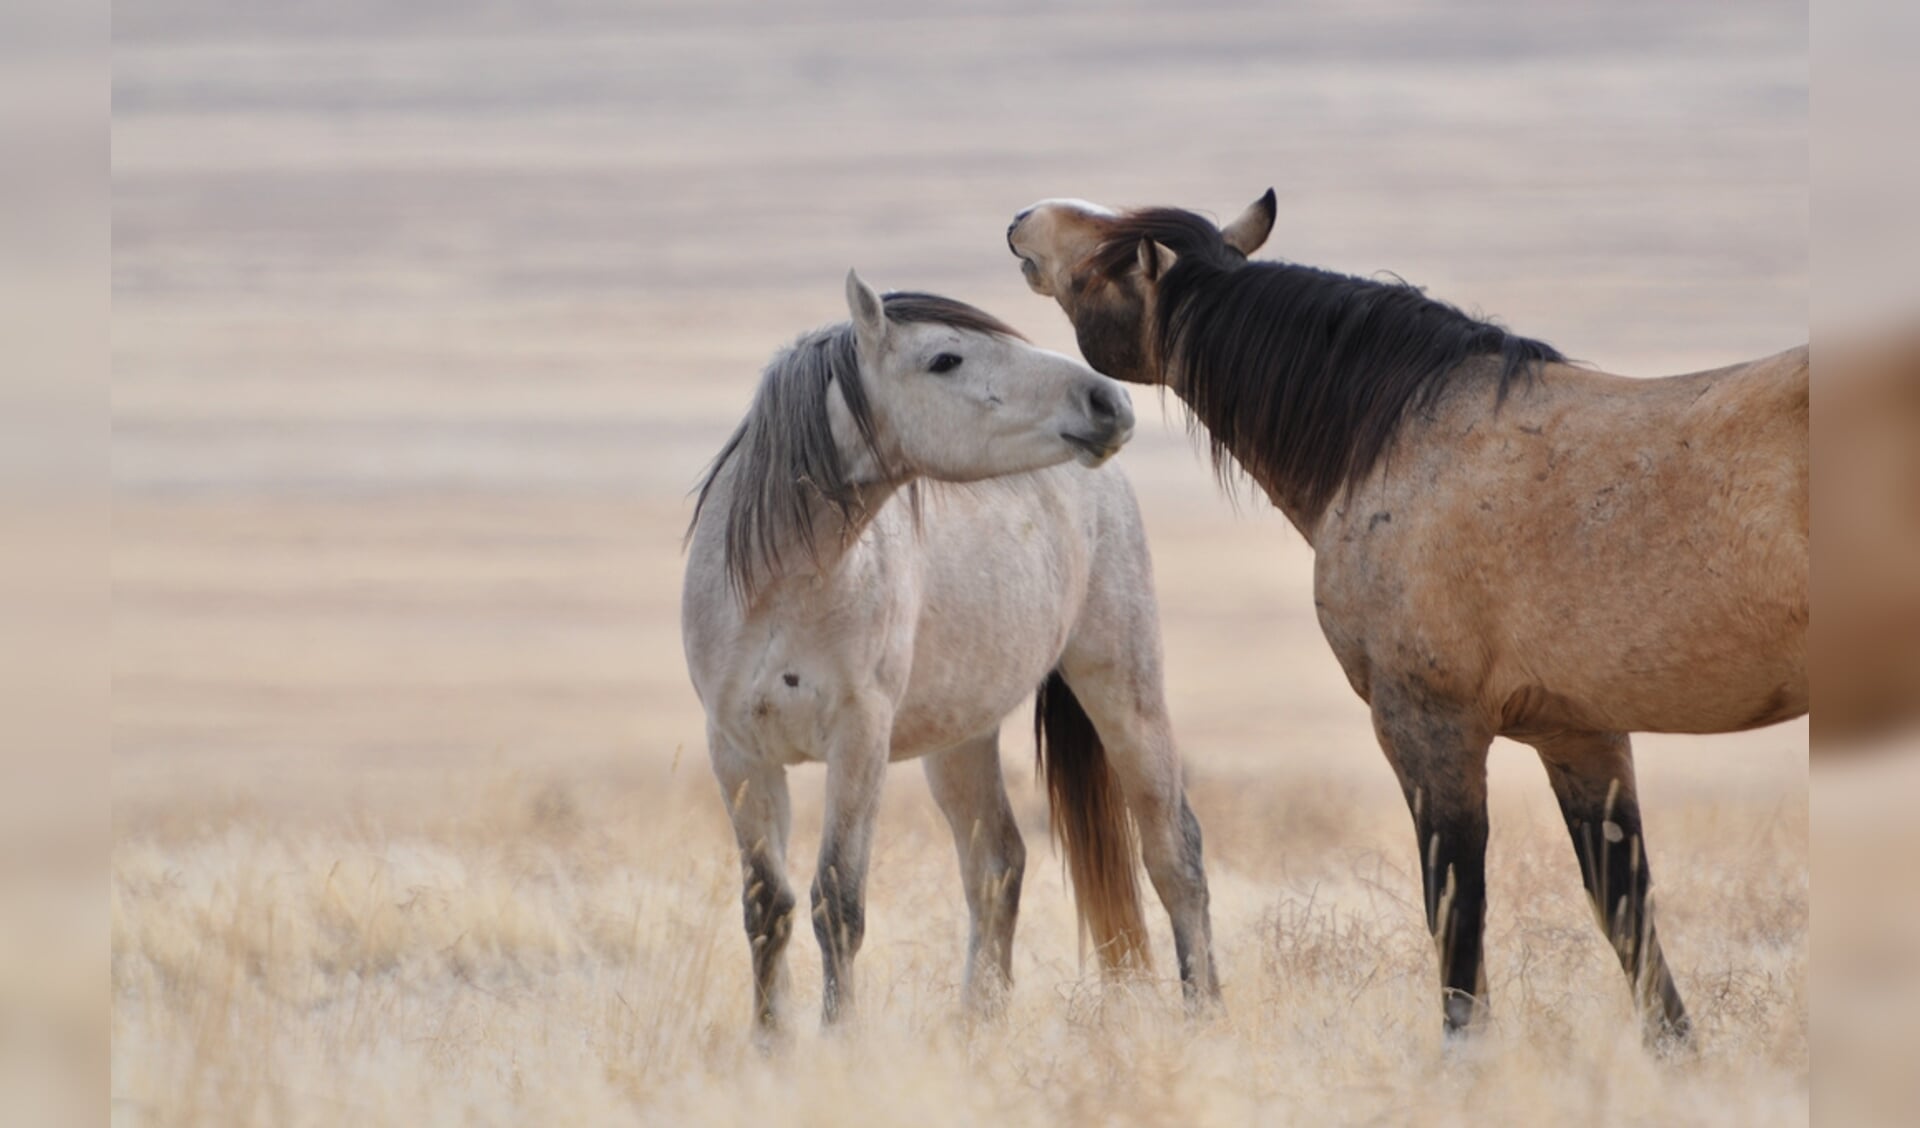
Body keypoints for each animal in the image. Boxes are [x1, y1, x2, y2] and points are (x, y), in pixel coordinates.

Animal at [675, 270, 1213, 1028]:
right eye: (945, 359)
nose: (1108, 401)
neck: (782, 589)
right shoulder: (737, 752)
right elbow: (767, 908)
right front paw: (770, 1041)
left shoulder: (859, 741)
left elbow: (837, 901)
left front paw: (839, 1038)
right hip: (961, 735)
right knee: (997, 862)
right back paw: (978, 1024)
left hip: (1123, 690)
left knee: (1174, 854)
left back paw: (1206, 1015)